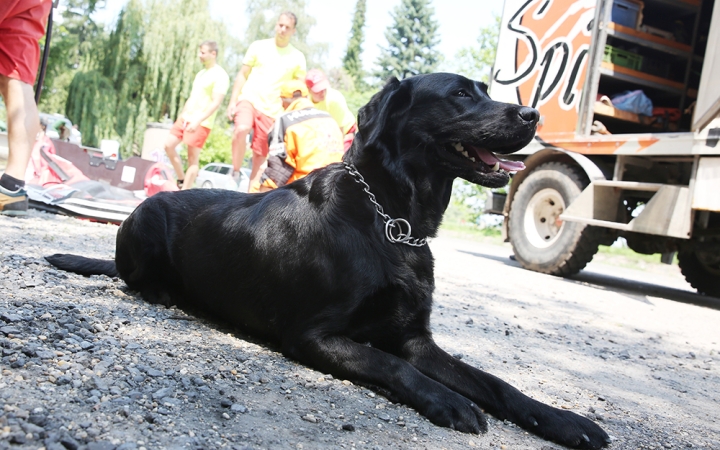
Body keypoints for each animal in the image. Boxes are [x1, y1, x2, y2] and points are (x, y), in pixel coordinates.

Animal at [43, 73, 608, 446]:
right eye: (461, 94)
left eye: (487, 90)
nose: (532, 115)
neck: (393, 220)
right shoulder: (313, 335)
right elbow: (390, 364)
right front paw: (448, 401)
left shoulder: (416, 340)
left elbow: (495, 382)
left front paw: (565, 421)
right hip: (144, 218)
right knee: (133, 278)